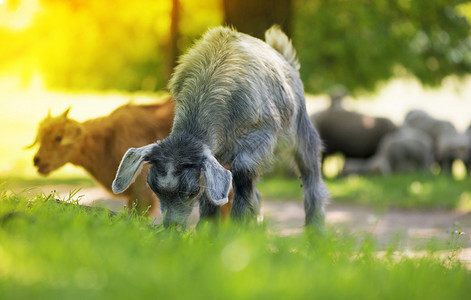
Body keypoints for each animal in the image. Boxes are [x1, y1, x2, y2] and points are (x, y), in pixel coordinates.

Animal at [112, 26, 330, 230]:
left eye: (192, 191)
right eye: (153, 187)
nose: (172, 227)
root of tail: (283, 56)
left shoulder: (261, 137)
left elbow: (242, 171)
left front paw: (237, 226)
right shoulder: (212, 155)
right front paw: (208, 230)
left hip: (302, 132)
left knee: (311, 178)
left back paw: (315, 231)